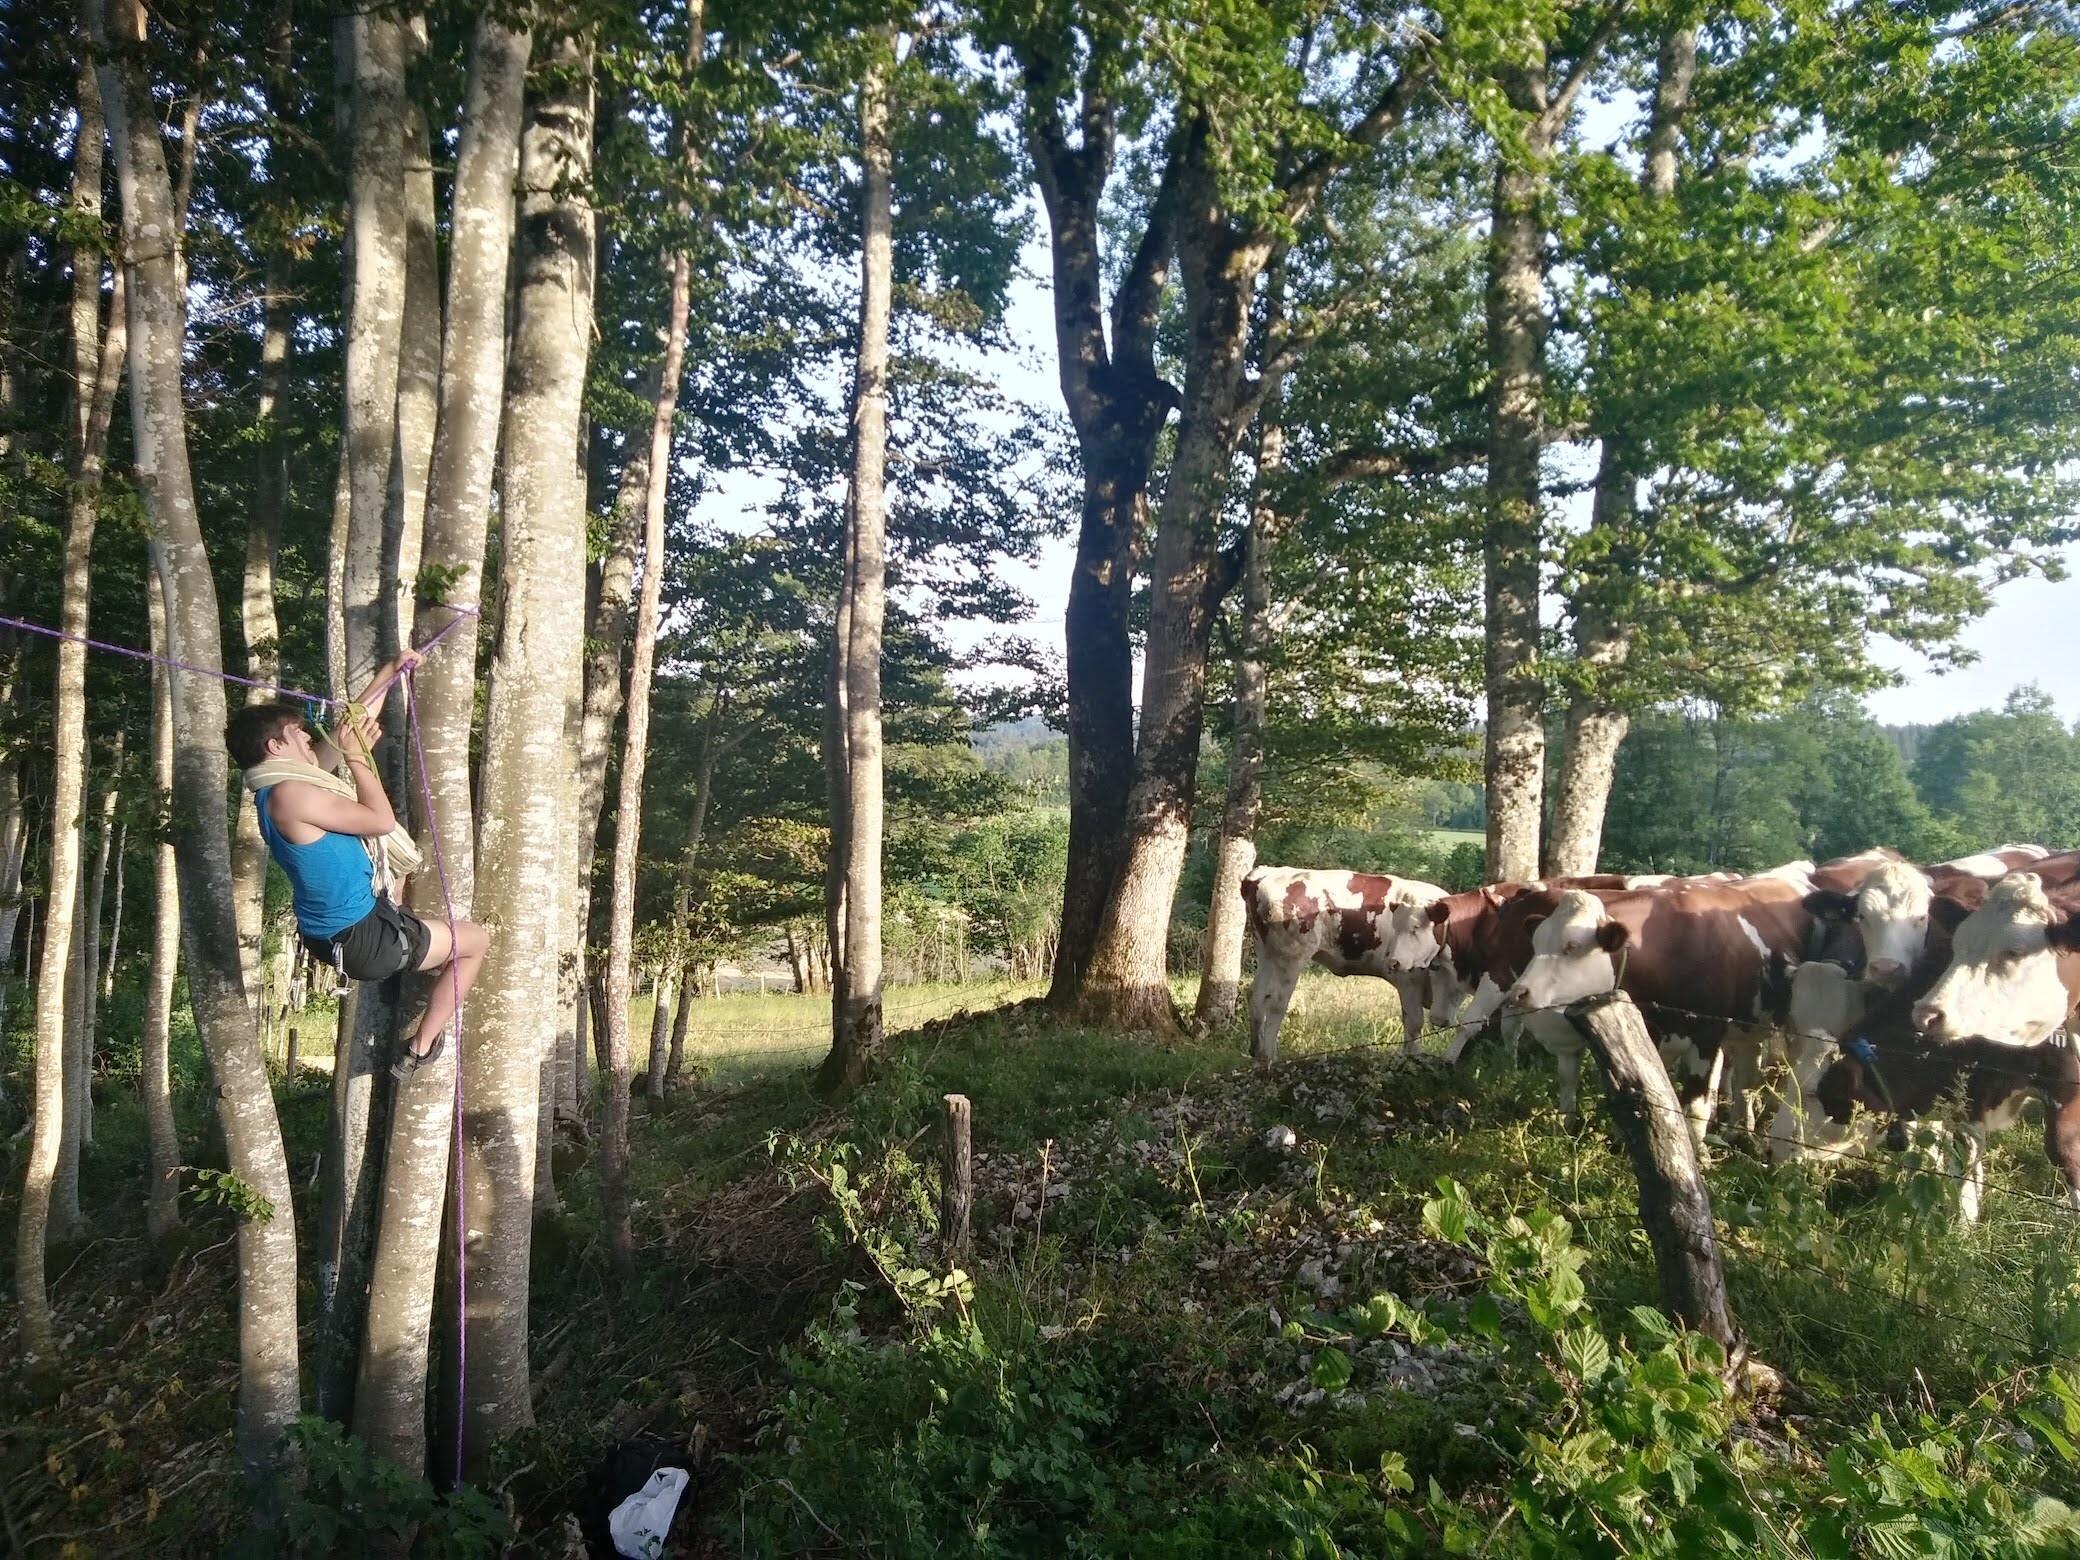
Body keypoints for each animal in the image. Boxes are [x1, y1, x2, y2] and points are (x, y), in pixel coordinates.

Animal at [1240, 866, 1449, 1068]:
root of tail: (1266, 872)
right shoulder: (1409, 981)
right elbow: (1414, 1024)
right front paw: (1413, 1058)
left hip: (1267, 954)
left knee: (1257, 994)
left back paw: (1257, 1054)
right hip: (1290, 957)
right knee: (1276, 1002)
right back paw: (1268, 1058)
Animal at [1499, 873, 1817, 1143]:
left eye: (1571, 946)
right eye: (1536, 944)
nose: (1519, 992)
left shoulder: (1706, 1036)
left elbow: (1694, 1108)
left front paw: (1699, 1159)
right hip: (1749, 1028)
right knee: (1745, 1080)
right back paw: (1739, 1131)